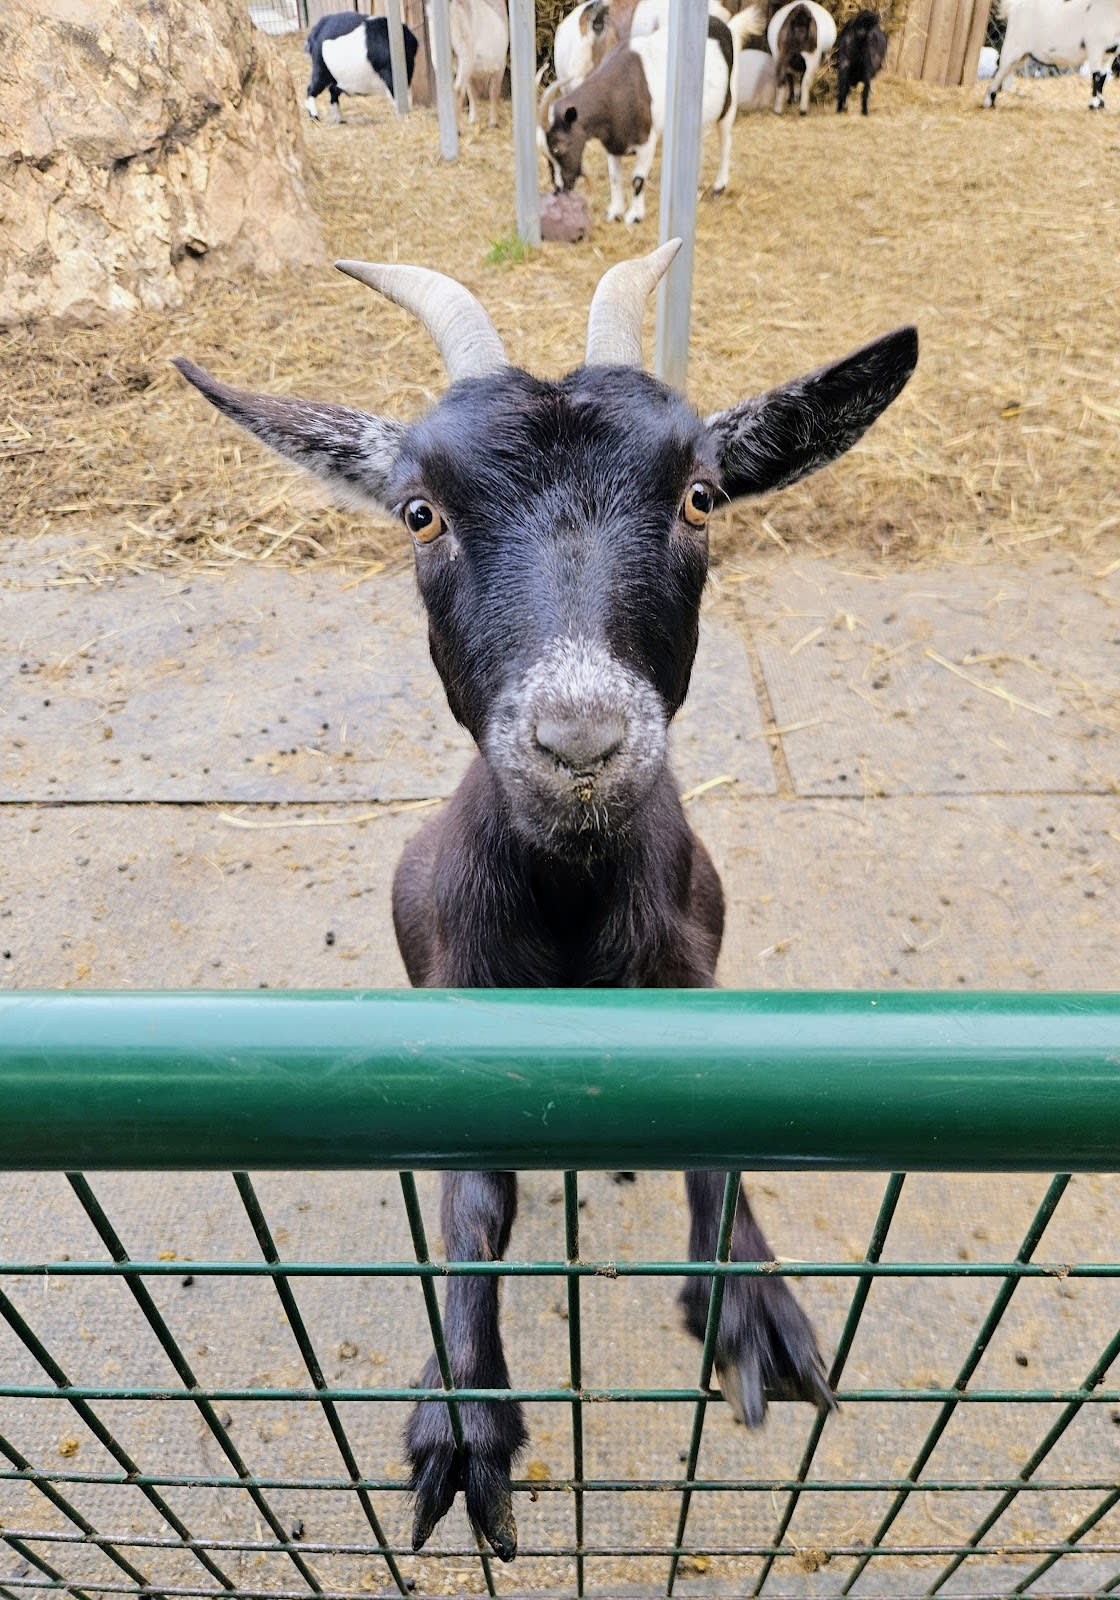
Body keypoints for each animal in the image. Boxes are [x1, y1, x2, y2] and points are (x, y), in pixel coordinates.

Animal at [173, 241, 918, 1563]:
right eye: (420, 511)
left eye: (701, 496)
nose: (580, 743)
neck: (571, 909)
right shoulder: (459, 1012)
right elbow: (471, 1199)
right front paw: (464, 1418)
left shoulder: (691, 974)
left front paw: (753, 1306)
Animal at [545, 14, 755, 223]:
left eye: (557, 147)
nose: (558, 190)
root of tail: (725, 26)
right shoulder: (613, 142)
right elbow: (615, 177)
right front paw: (615, 211)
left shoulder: (646, 141)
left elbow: (637, 179)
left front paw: (634, 216)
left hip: (729, 104)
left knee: (726, 142)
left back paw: (719, 186)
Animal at [983, 0, 1120, 107]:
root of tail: (1013, 7)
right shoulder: (1095, 47)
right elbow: (1096, 76)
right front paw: (1094, 104)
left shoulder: (1110, 53)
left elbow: (1103, 76)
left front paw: (1101, 104)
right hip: (1013, 47)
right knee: (999, 70)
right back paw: (987, 103)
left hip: (1022, 55)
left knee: (1003, 72)